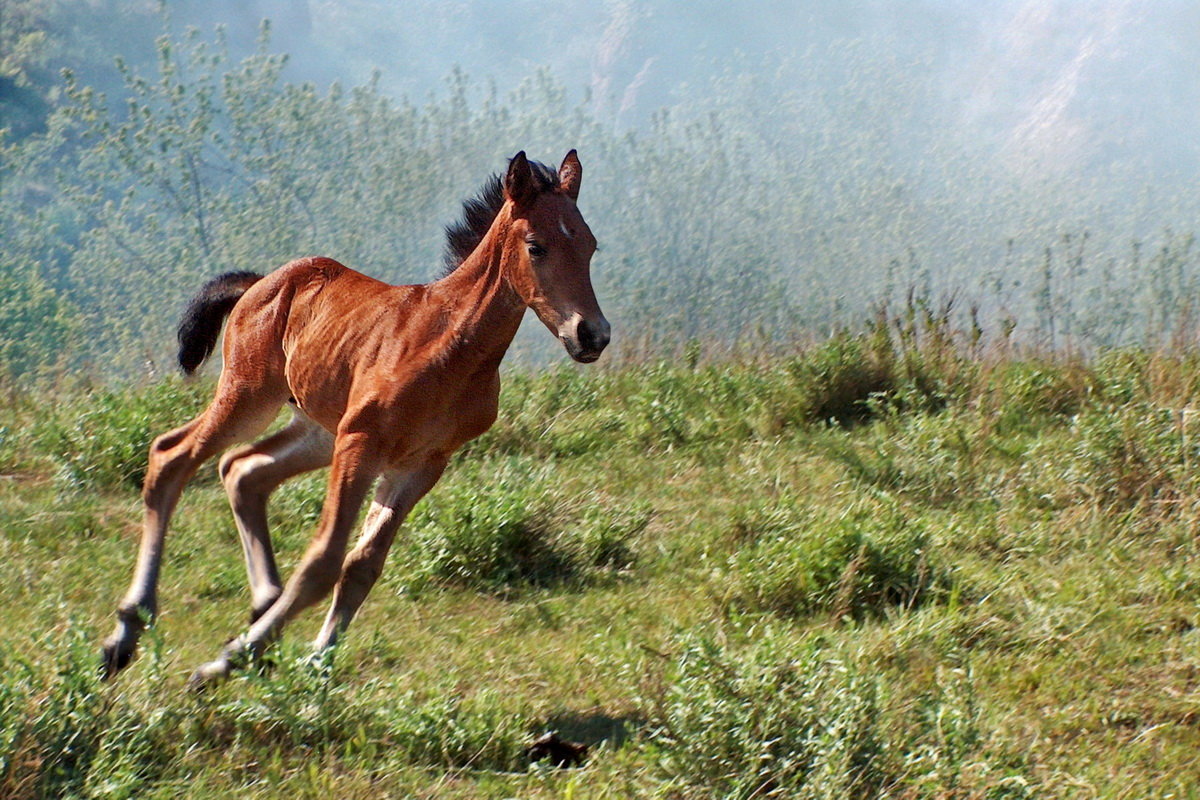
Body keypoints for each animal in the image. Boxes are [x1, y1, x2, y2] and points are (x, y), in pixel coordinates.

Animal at [99, 151, 609, 690]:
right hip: (250, 397)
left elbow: (363, 564)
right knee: (171, 457)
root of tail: (259, 284)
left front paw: (313, 663)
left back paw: (263, 611)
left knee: (243, 470)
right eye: (536, 246)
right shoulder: (363, 442)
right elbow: (324, 560)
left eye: (590, 245)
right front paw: (226, 660)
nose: (592, 335)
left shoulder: (423, 463)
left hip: (318, 429)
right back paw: (126, 635)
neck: (451, 345)